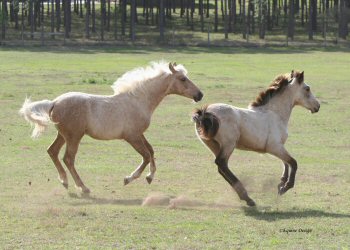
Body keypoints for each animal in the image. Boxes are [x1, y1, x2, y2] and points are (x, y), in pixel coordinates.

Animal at [19, 62, 202, 193]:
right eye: (183, 79)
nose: (200, 95)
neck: (138, 101)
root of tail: (54, 102)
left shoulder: (139, 134)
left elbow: (151, 151)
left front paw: (150, 176)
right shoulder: (132, 137)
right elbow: (145, 156)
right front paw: (129, 179)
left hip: (63, 135)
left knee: (52, 151)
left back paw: (64, 181)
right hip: (74, 137)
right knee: (68, 159)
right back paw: (83, 188)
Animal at [193, 71, 322, 207]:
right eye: (307, 88)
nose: (317, 106)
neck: (275, 114)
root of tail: (204, 112)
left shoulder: (279, 147)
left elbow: (286, 162)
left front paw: (281, 182)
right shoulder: (274, 147)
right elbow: (293, 162)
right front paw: (285, 187)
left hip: (214, 145)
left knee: (222, 167)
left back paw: (246, 197)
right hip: (228, 144)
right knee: (222, 164)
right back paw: (247, 197)